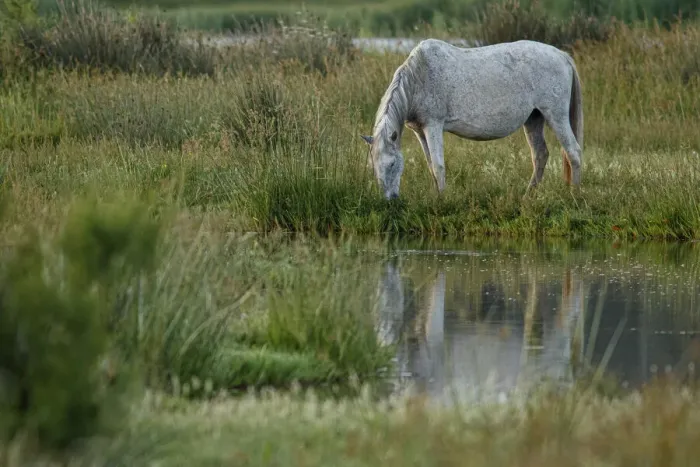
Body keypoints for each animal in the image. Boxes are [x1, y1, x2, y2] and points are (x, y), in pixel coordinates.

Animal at [360, 39, 584, 200]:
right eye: (372, 166)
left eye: (391, 164)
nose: (390, 200)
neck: (418, 78)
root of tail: (562, 56)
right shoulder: (420, 131)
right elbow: (431, 166)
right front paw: (436, 196)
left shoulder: (433, 125)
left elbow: (439, 166)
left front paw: (442, 200)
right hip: (534, 119)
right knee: (540, 155)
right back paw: (527, 196)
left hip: (555, 115)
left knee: (573, 152)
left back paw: (574, 196)